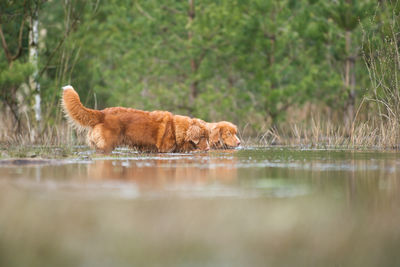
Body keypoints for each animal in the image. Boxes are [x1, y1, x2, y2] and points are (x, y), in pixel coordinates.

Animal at [61, 85, 209, 154]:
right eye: (202, 137)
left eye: (207, 137)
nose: (208, 149)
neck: (175, 128)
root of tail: (101, 113)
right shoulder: (164, 150)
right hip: (106, 146)